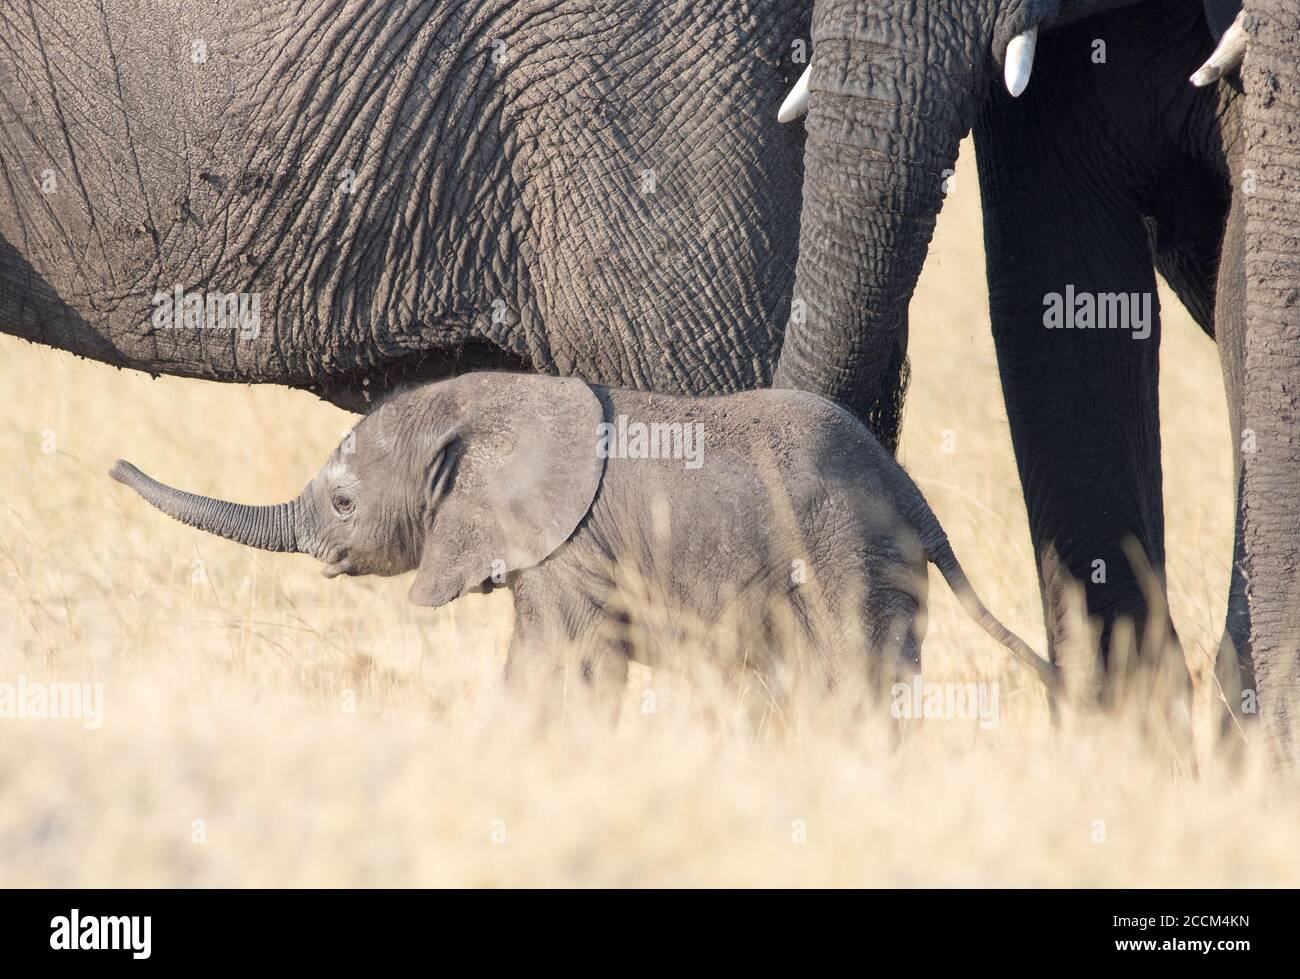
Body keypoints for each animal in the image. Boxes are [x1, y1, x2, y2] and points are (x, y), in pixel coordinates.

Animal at [109, 372, 1055, 707]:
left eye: (342, 502)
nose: (113, 467)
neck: (477, 406)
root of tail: (917, 499)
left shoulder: (569, 550)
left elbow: (570, 662)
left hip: (846, 554)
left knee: (853, 675)